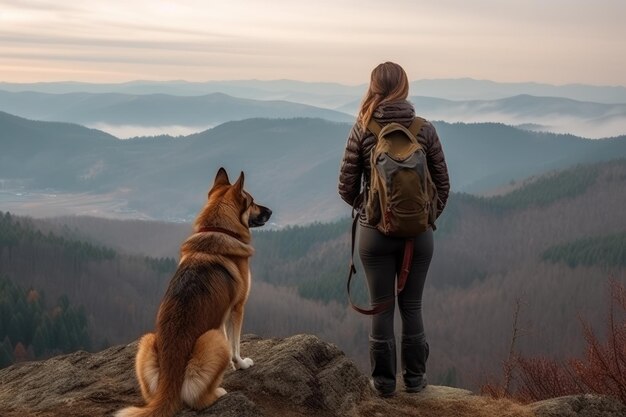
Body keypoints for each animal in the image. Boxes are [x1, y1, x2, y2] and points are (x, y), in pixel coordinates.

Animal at [116, 167, 272, 416]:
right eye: (252, 202)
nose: (270, 211)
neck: (218, 228)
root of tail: (168, 386)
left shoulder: (224, 312)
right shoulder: (237, 308)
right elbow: (235, 345)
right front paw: (241, 364)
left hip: (147, 341)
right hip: (213, 340)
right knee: (196, 398)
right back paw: (218, 392)